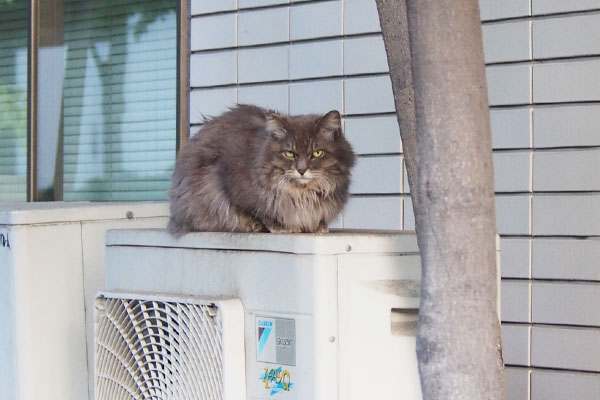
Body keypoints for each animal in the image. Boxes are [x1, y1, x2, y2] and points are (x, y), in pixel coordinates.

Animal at [168, 104, 356, 236]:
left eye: (317, 153)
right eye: (289, 153)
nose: (301, 170)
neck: (301, 194)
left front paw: (319, 227)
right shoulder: (229, 186)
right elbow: (257, 212)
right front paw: (281, 227)